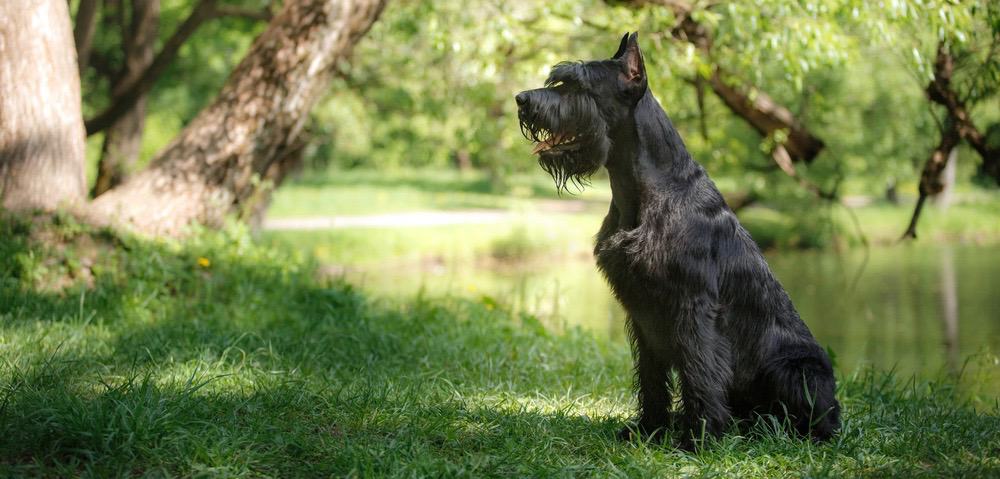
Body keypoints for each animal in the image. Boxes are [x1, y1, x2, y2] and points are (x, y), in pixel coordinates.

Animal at [520, 33, 840, 450]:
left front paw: (697, 437)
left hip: (797, 370)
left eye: (577, 85)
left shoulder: (693, 306)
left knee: (818, 420)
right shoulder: (641, 312)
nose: (521, 100)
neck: (643, 192)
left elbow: (699, 372)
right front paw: (650, 429)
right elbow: (652, 377)